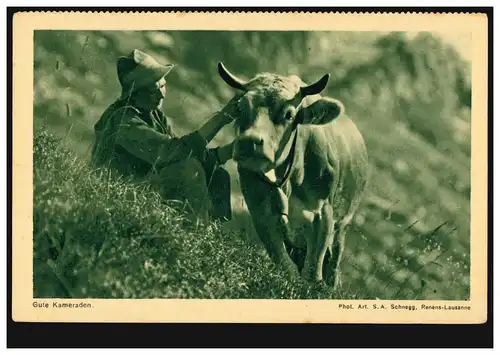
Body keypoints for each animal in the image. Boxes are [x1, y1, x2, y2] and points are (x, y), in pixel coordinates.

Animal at [217, 62, 370, 290]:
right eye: (241, 107)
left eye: (289, 115)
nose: (250, 141)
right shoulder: (259, 208)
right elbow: (284, 263)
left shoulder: (323, 211)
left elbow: (313, 270)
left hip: (342, 225)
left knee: (333, 262)